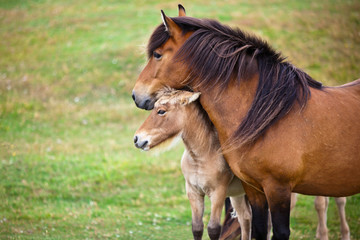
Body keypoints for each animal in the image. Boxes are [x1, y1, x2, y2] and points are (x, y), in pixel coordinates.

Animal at [133, 89, 253, 240]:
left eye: (161, 111)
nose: (137, 139)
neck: (202, 156)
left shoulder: (218, 193)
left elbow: (213, 229)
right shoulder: (193, 192)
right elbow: (197, 228)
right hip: (237, 194)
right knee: (245, 218)